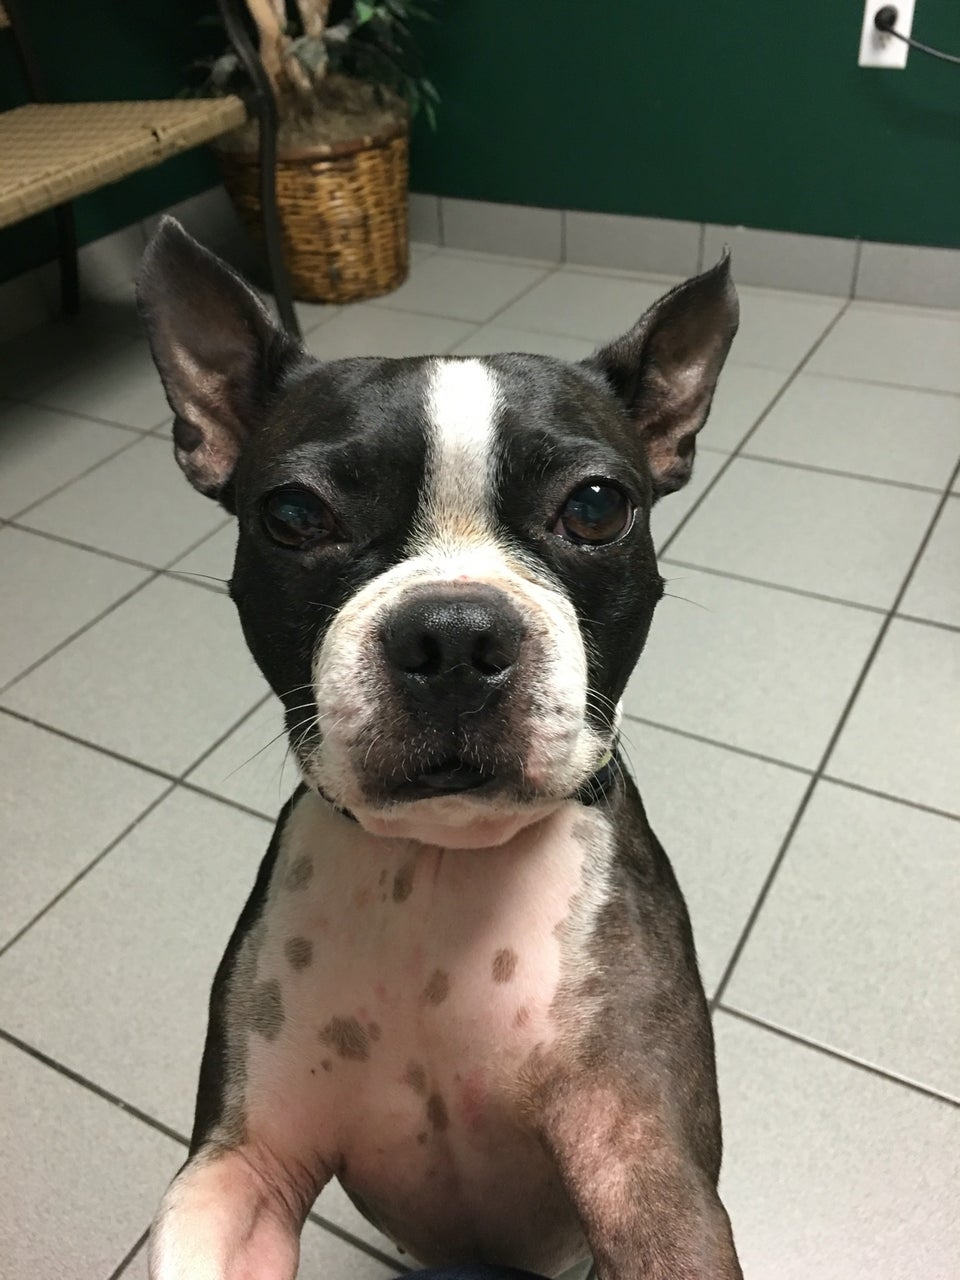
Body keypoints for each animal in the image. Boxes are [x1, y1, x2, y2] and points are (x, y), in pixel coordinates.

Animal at [137, 216, 742, 1280]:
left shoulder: (648, 1172)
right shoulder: (238, 1170)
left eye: (595, 507)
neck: (440, 862)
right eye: (293, 515)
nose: (454, 634)